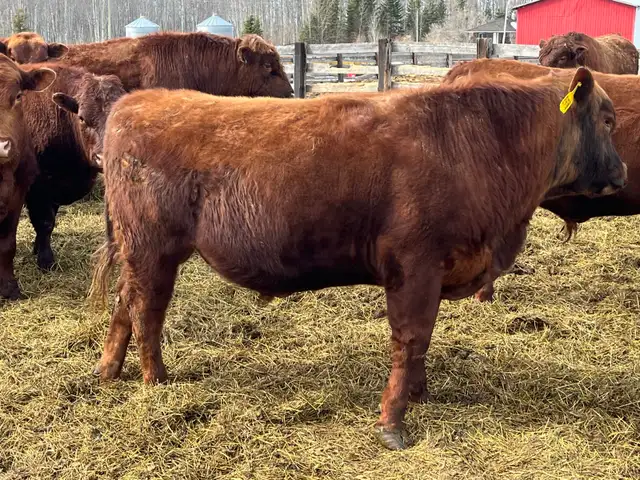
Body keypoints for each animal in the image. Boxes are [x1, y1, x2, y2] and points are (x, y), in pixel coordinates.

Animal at [12, 63, 126, 275]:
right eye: (81, 118)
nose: (103, 157)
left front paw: (37, 248)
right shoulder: (38, 187)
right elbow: (45, 222)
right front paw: (45, 260)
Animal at [88, 67, 625, 450]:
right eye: (607, 119)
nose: (621, 172)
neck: (478, 145)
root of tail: (138, 101)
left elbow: (423, 341)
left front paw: (420, 394)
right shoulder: (415, 266)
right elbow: (410, 339)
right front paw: (394, 423)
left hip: (138, 251)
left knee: (124, 302)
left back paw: (108, 371)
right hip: (153, 249)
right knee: (147, 310)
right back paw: (156, 381)